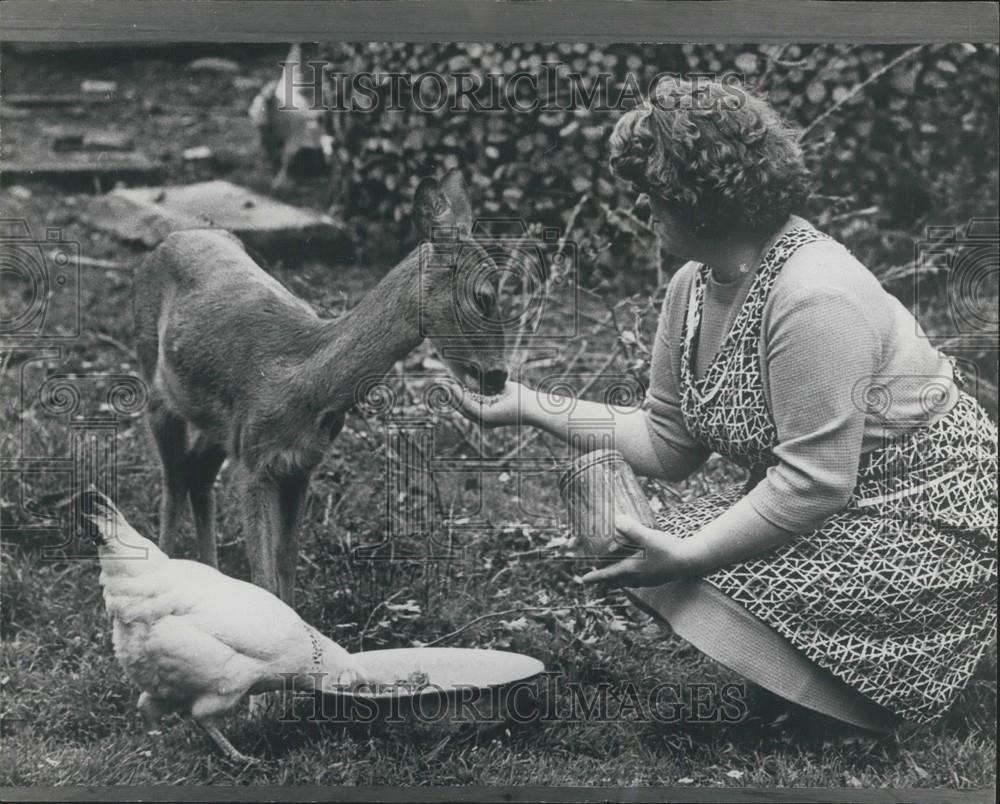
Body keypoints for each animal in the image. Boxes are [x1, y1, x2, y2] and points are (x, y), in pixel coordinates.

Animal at [133, 171, 508, 608]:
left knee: (195, 473)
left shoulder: (299, 465)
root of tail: (171, 239)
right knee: (173, 482)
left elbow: (286, 559)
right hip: (156, 383)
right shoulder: (254, 462)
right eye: (483, 297)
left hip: (220, 428)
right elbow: (263, 576)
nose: (498, 375)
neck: (306, 383)